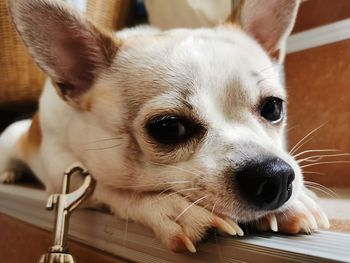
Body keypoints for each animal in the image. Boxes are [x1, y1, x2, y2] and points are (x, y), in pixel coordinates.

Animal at [0, 0, 328, 254]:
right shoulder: (61, 171)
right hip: (13, 138)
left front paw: (296, 202)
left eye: (274, 108)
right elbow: (109, 186)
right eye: (168, 128)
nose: (274, 176)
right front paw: (171, 208)